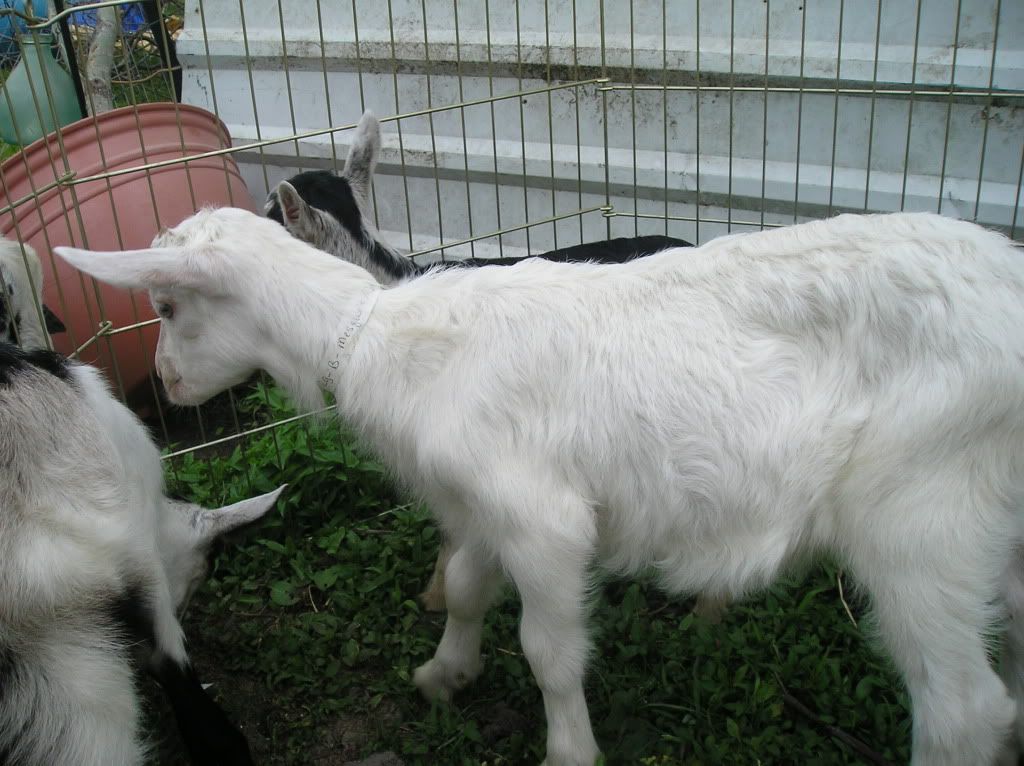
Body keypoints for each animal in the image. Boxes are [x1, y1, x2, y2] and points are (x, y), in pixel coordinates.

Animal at [56, 208, 1024, 766]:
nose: (167, 386)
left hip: (921, 509)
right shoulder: (481, 504)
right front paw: (444, 674)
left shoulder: (541, 518)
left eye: (170, 307)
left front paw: (568, 749)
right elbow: (467, 588)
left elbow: (550, 652)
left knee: (966, 710)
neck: (372, 334)